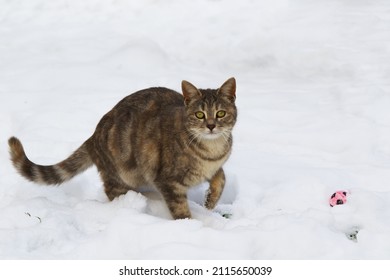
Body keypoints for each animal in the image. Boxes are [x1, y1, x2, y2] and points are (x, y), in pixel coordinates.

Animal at [7, 77, 236, 220]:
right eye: (199, 114)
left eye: (221, 113)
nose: (211, 126)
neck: (211, 150)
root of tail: (93, 136)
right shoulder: (168, 181)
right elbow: (180, 208)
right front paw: (190, 225)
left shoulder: (216, 166)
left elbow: (222, 178)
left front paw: (210, 201)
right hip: (121, 173)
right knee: (112, 190)